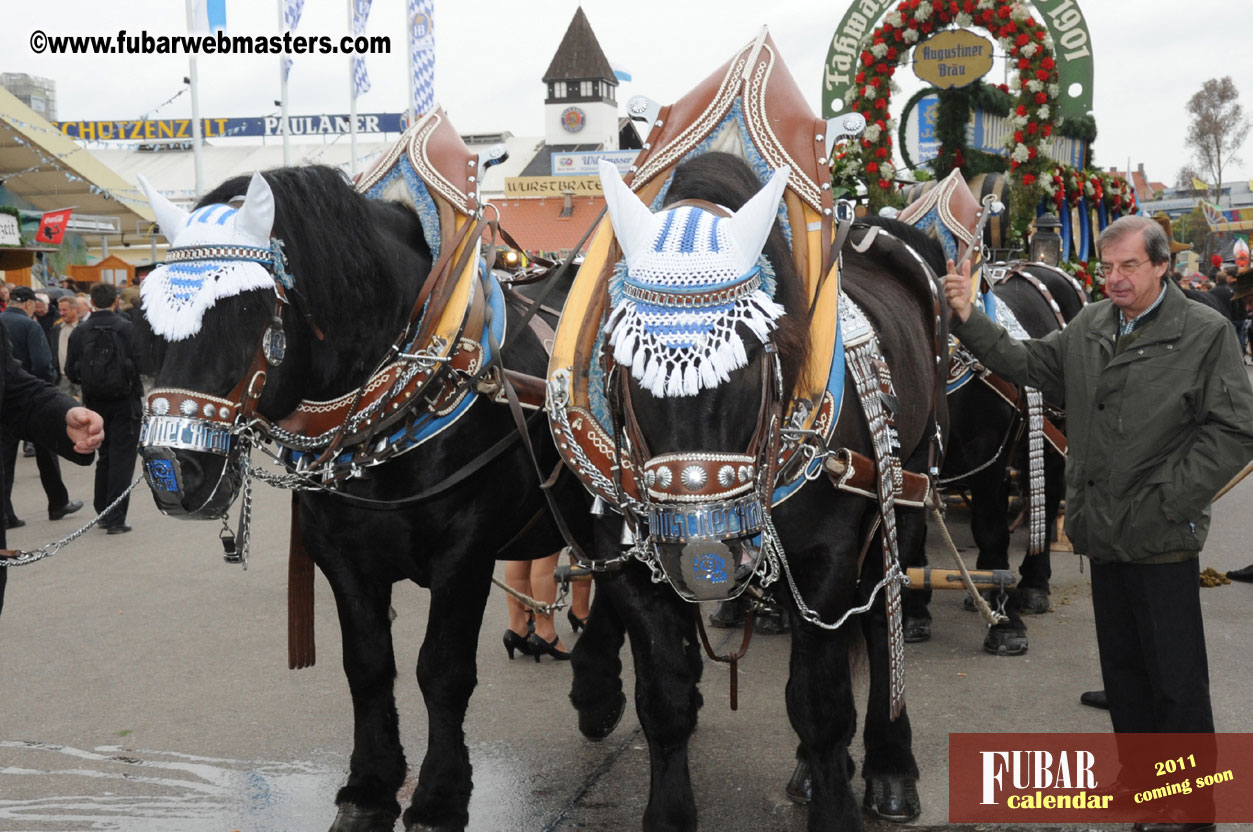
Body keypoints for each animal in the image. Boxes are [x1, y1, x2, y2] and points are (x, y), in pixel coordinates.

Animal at [140, 164, 586, 832]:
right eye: (152, 314)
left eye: (246, 306)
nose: (169, 469)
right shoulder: (341, 555)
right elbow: (368, 665)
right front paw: (372, 782)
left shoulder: (466, 552)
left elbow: (441, 670)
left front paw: (439, 794)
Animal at [566, 152, 942, 826]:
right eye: (626, 361)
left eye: (750, 358)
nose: (704, 555)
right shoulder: (629, 567)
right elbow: (664, 700)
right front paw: (669, 814)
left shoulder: (825, 561)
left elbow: (820, 705)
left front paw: (839, 808)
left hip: (904, 496)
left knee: (881, 621)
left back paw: (889, 767)